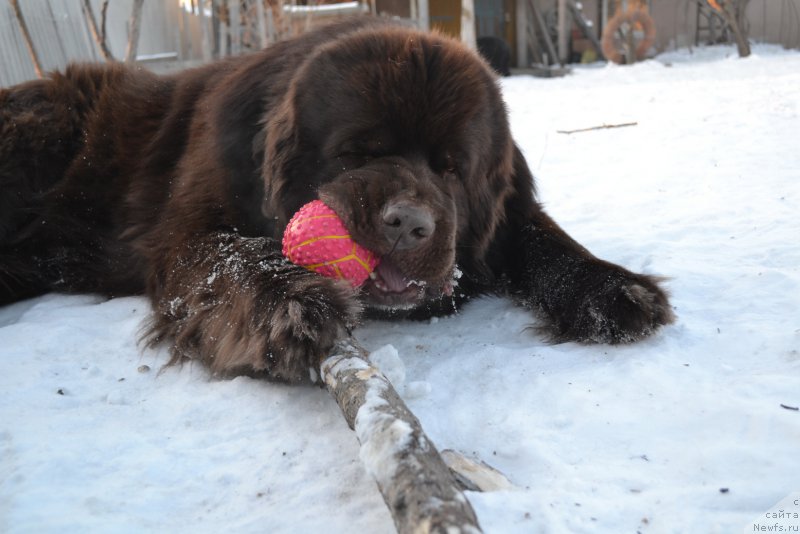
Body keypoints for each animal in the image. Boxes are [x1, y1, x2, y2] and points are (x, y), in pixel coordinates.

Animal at [0, 17, 676, 386]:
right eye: (355, 153)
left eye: (451, 168)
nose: (409, 225)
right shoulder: (190, 235)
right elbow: (234, 260)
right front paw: (292, 303)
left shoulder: (507, 215)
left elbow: (541, 235)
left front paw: (612, 289)